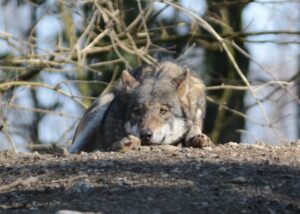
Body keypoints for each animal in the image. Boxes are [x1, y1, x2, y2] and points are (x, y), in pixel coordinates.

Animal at [69, 61, 212, 153]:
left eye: (163, 111)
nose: (145, 135)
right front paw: (125, 142)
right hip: (104, 102)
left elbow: (194, 129)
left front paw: (197, 138)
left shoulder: (197, 116)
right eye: (137, 111)